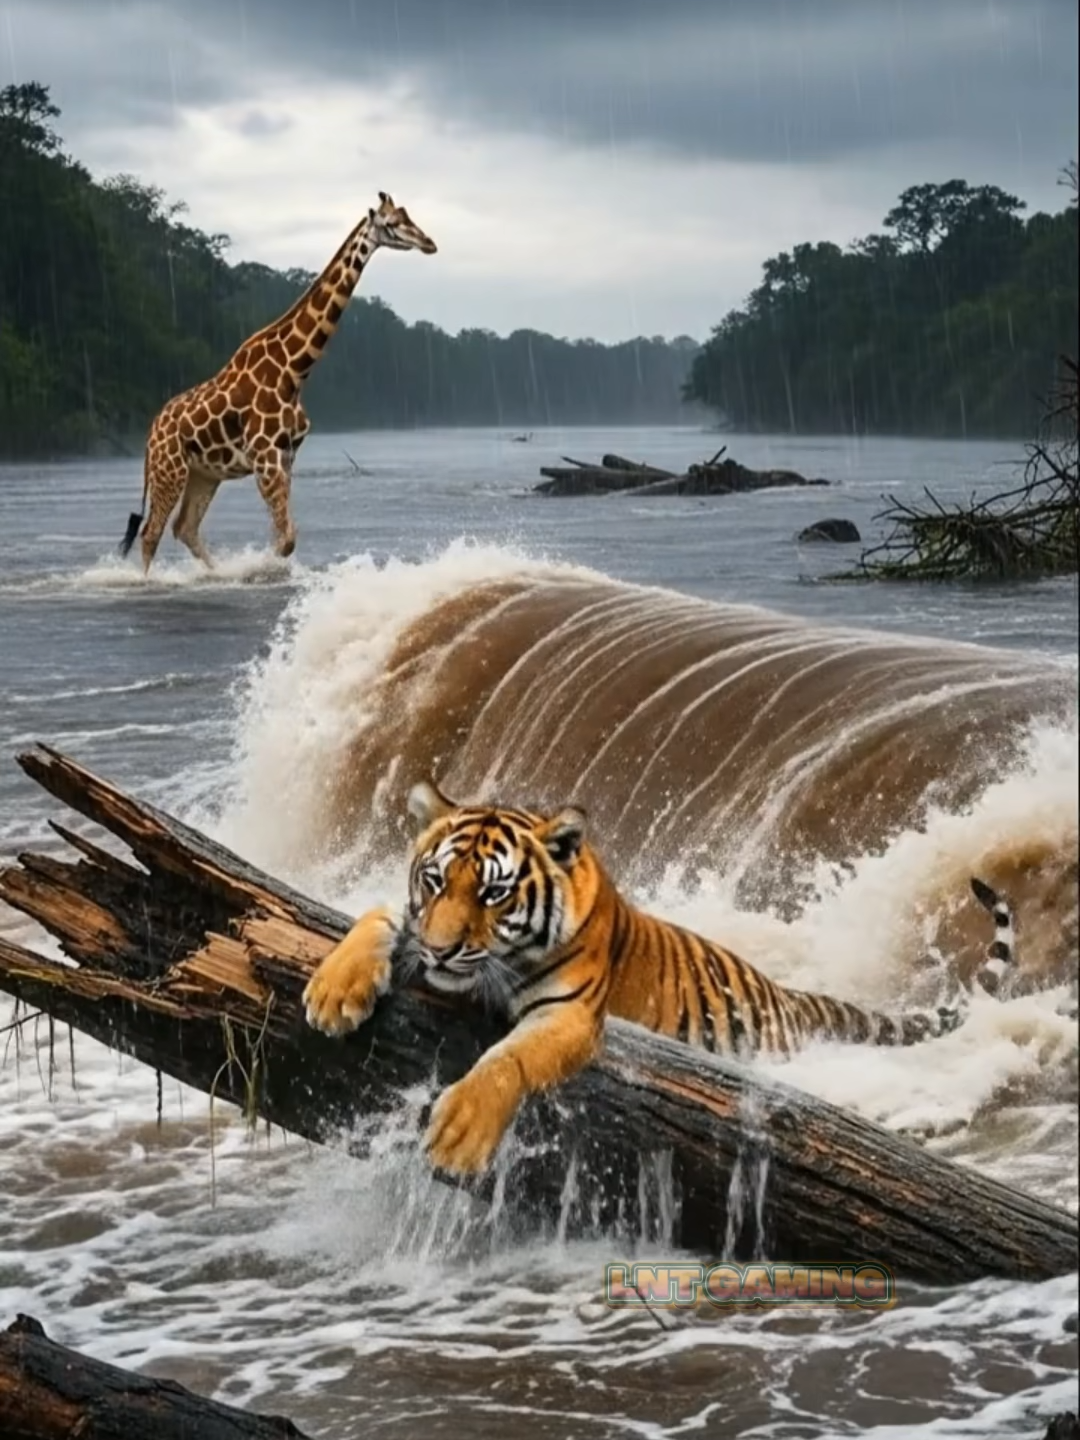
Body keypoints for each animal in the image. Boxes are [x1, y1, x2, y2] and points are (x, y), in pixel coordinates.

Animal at [119, 192, 437, 573]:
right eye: (391, 223)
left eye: (408, 215)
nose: (429, 243)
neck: (295, 370)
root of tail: (151, 432)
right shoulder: (265, 456)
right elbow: (285, 539)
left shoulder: (285, 456)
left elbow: (283, 535)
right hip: (169, 469)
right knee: (151, 533)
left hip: (204, 474)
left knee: (184, 527)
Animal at [303, 780, 977, 1177]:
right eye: (436, 880)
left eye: (494, 893)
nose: (442, 953)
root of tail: (784, 994)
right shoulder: (416, 923)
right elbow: (376, 916)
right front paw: (333, 993)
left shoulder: (570, 1013)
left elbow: (507, 1060)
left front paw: (460, 1133)